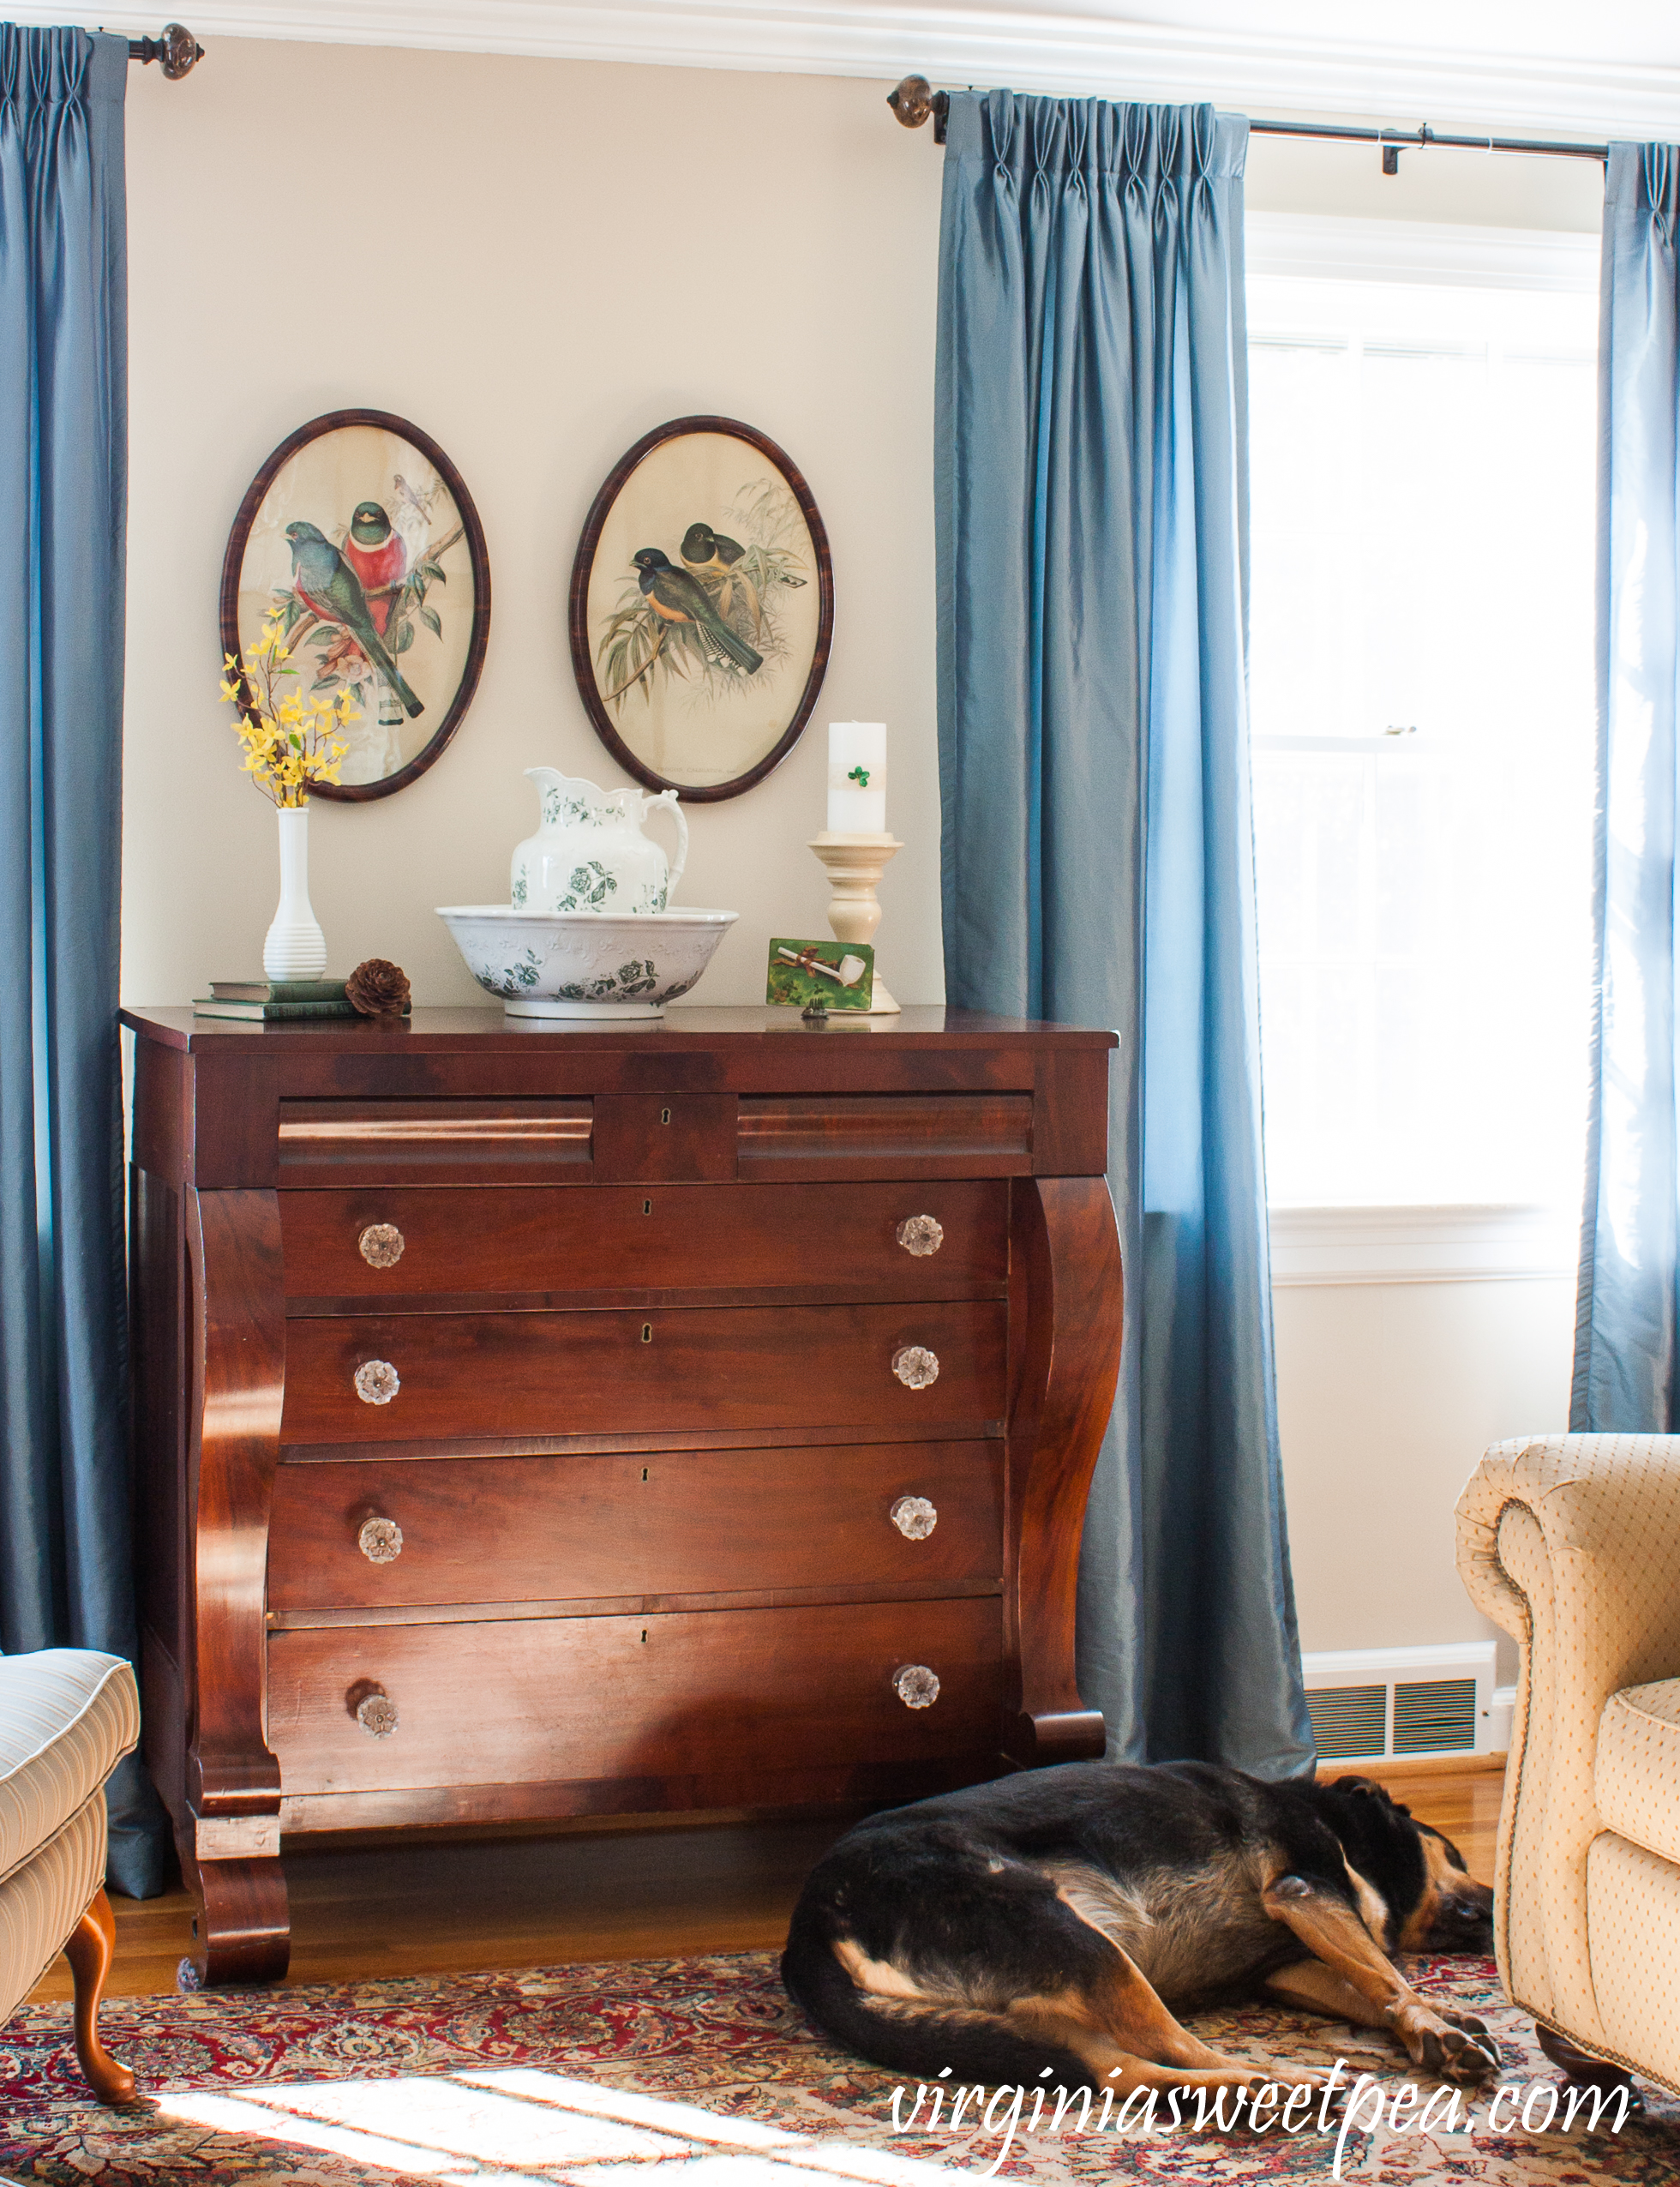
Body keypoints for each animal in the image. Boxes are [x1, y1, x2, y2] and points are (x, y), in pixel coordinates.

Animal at [783, 1758, 1496, 2099]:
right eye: (1458, 1855)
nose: (1497, 1902)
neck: (1342, 1822)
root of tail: (807, 1927)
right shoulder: (1304, 1891)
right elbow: (1389, 1975)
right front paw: (1439, 2029)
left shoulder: (1289, 1964)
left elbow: (1373, 1987)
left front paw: (1443, 2023)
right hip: (1074, 1936)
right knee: (1168, 2039)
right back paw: (1277, 2085)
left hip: (1032, 2015)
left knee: (1116, 2070)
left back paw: (1248, 2090)